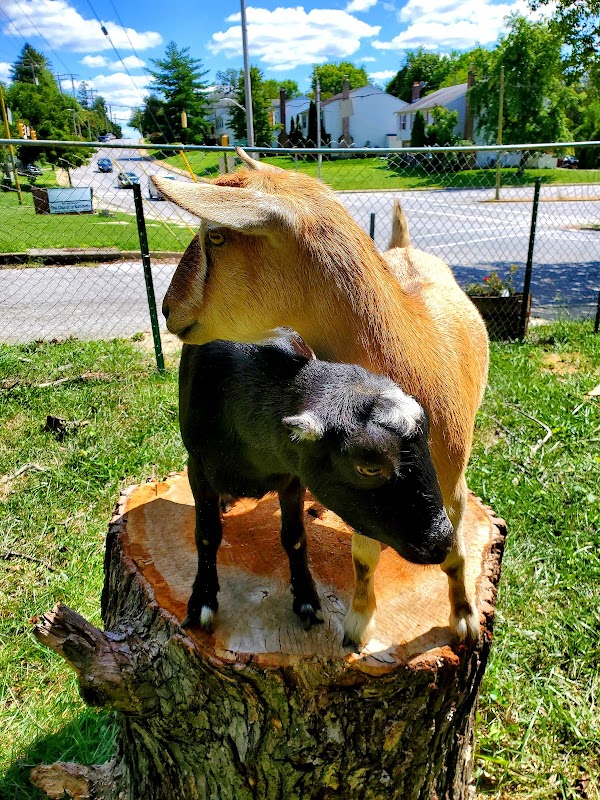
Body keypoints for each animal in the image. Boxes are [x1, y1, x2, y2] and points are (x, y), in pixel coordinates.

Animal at [179, 330, 452, 645]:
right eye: (369, 467)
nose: (443, 541)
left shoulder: (293, 476)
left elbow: (295, 536)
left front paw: (306, 599)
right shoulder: (197, 468)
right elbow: (207, 535)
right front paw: (202, 600)